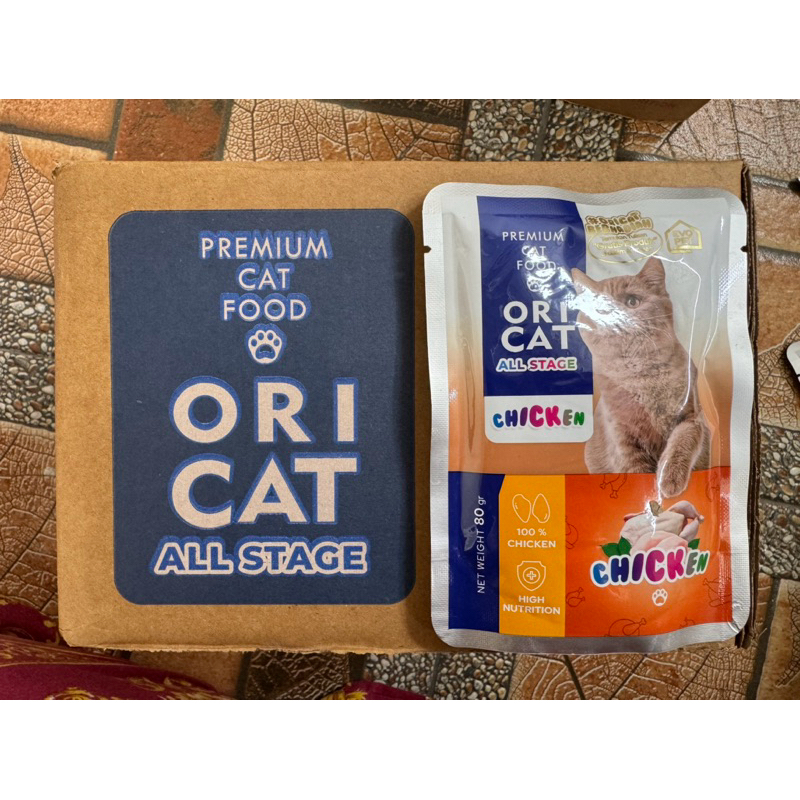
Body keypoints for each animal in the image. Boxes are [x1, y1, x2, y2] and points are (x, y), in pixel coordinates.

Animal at [571, 257, 709, 498]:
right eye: (600, 310)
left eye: (632, 301)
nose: (615, 316)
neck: (642, 379)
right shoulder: (622, 439)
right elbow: (635, 473)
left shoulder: (691, 416)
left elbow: (680, 443)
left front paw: (668, 479)